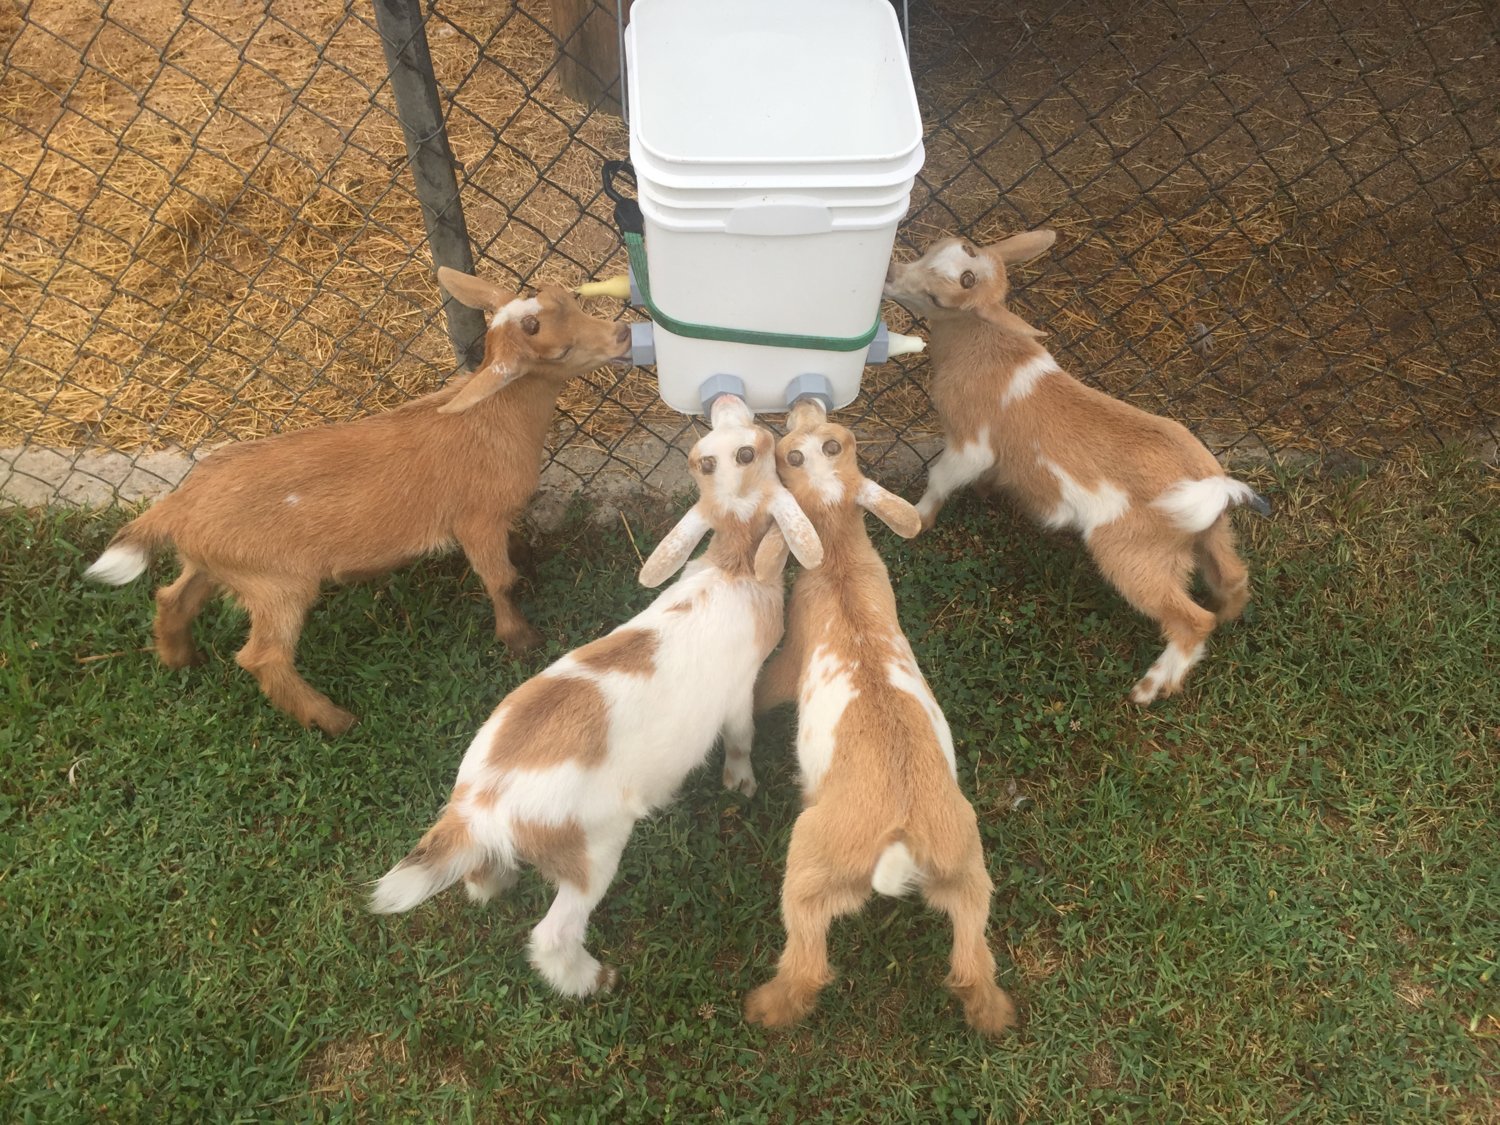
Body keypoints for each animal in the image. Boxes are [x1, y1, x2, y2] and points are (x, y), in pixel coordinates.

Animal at [81, 270, 633, 734]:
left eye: (567, 297)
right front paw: (522, 640)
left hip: (218, 566)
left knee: (172, 597)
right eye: (552, 343)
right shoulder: (476, 519)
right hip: (277, 584)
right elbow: (499, 580)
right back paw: (332, 720)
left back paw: (179, 659)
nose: (623, 334)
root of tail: (180, 506)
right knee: (262, 657)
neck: (490, 421)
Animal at [368, 395, 823, 997]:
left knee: (479, 879)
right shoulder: (738, 693)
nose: (729, 403)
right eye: (748, 453)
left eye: (710, 460)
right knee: (551, 935)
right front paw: (742, 786)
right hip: (594, 853)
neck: (733, 569)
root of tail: (480, 808)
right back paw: (596, 980)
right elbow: (742, 740)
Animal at [744, 398, 1016, 1038]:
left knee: (807, 963)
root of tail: (899, 836)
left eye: (792, 455)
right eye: (836, 445)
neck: (839, 560)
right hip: (967, 868)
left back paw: (762, 1009)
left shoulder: (790, 658)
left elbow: (768, 686)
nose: (803, 407)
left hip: (810, 864)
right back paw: (996, 1017)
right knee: (972, 959)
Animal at [884, 232, 1269, 703]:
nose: (890, 274)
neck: (986, 348)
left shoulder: (970, 443)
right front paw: (987, 492)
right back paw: (1227, 615)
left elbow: (939, 478)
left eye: (943, 295)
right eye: (941, 247)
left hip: (1131, 554)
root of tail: (1213, 490)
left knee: (1193, 620)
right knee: (1232, 577)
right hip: (1209, 535)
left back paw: (1150, 687)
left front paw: (916, 520)